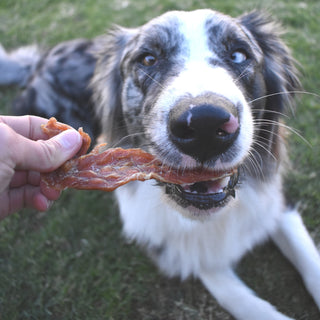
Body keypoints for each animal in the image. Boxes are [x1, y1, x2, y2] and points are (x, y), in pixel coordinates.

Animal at [0, 8, 320, 318]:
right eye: (148, 58)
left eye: (239, 54)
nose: (205, 124)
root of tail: (39, 61)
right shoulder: (173, 246)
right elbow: (235, 296)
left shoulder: (278, 204)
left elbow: (308, 258)